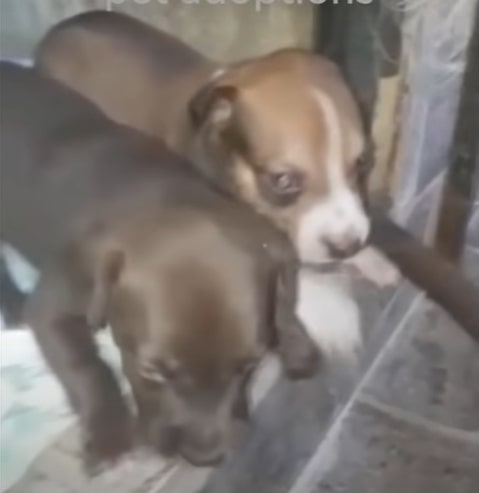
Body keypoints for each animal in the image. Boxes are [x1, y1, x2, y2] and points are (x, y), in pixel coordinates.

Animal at [0, 64, 318, 468]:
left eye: (249, 366)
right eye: (151, 371)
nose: (205, 457)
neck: (166, 197)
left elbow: (284, 300)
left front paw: (295, 339)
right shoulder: (52, 304)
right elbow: (84, 365)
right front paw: (109, 432)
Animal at [35, 9, 400, 358]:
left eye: (362, 163)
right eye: (282, 181)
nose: (347, 246)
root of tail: (52, 35)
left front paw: (372, 258)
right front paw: (334, 315)